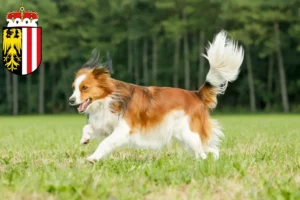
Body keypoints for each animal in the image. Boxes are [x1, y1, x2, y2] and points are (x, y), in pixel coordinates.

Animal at [69, 30, 243, 162]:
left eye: (84, 87)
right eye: (74, 88)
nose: (71, 100)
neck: (108, 98)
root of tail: (196, 94)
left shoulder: (124, 129)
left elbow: (105, 143)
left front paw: (93, 158)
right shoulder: (108, 125)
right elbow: (88, 127)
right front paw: (85, 138)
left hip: (189, 134)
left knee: (204, 152)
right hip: (185, 136)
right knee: (208, 149)